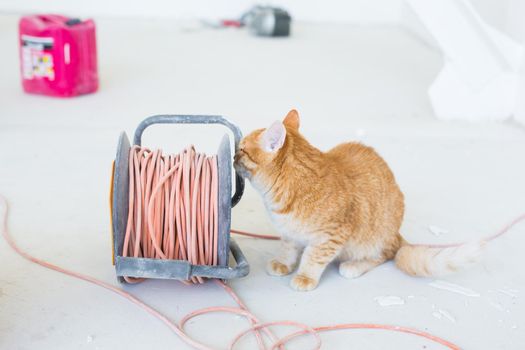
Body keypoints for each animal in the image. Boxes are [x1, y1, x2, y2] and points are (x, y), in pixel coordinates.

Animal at [235, 110, 482, 292]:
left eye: (242, 149)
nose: (235, 154)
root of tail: (396, 234)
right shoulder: (289, 234)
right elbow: (288, 249)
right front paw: (284, 263)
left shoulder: (332, 236)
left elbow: (313, 257)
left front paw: (305, 276)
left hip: (371, 239)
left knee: (386, 254)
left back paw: (354, 266)